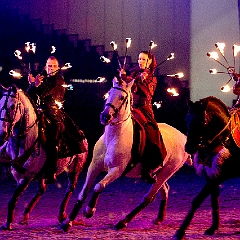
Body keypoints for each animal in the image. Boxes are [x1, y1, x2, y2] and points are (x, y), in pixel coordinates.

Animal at [0, 84, 87, 229]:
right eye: (0, 104)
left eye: (12, 106)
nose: (3, 133)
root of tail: (81, 133)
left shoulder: (26, 177)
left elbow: (12, 200)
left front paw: (8, 223)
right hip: (44, 174)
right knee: (41, 190)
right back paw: (25, 216)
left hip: (75, 168)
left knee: (70, 188)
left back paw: (62, 215)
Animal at [61, 78, 192, 232]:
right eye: (109, 93)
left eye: (122, 97)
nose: (105, 116)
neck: (112, 138)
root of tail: (183, 137)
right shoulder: (94, 166)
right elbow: (84, 191)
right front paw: (68, 222)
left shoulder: (117, 170)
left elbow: (99, 186)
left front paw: (89, 211)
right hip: (159, 173)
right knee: (164, 191)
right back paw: (159, 219)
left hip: (168, 171)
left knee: (148, 197)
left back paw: (122, 222)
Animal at [173, 96, 240, 240]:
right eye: (187, 120)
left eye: (202, 121)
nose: (189, 147)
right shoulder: (211, 174)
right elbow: (214, 200)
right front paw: (213, 228)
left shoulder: (220, 176)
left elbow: (197, 200)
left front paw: (180, 231)